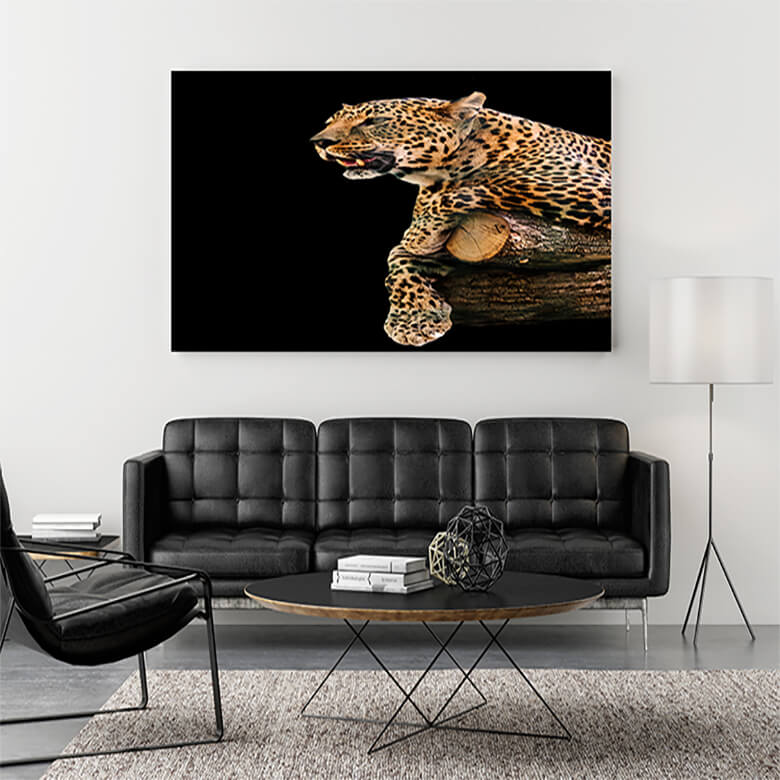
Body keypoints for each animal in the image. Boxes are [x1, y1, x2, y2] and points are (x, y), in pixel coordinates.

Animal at [311, 91, 611, 347]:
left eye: (375, 121)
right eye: (329, 123)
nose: (319, 142)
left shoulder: (592, 185)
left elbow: (497, 182)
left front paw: (419, 233)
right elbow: (396, 260)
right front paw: (414, 320)